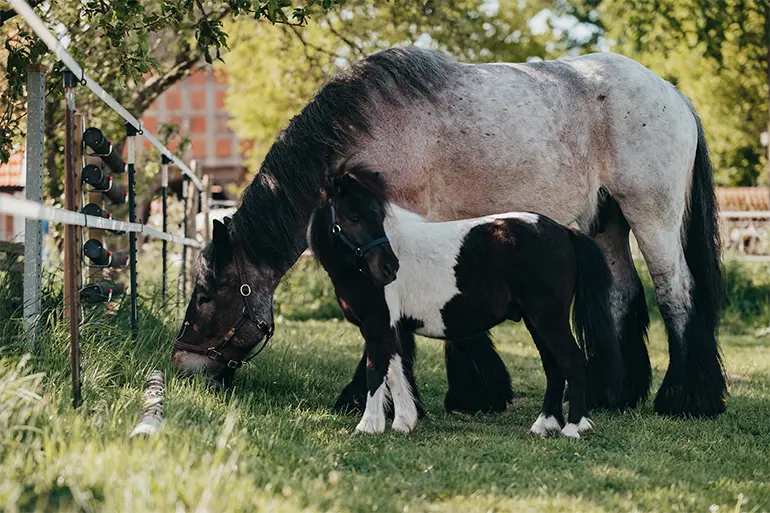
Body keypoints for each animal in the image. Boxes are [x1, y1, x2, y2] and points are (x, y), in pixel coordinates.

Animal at [308, 166, 622, 437]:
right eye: (354, 217)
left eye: (376, 216)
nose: (389, 268)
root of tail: (564, 232)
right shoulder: (389, 327)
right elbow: (395, 370)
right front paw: (403, 422)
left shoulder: (377, 325)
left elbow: (376, 371)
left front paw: (368, 426)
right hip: (536, 321)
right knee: (553, 367)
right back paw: (544, 425)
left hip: (548, 318)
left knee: (572, 361)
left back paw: (573, 428)